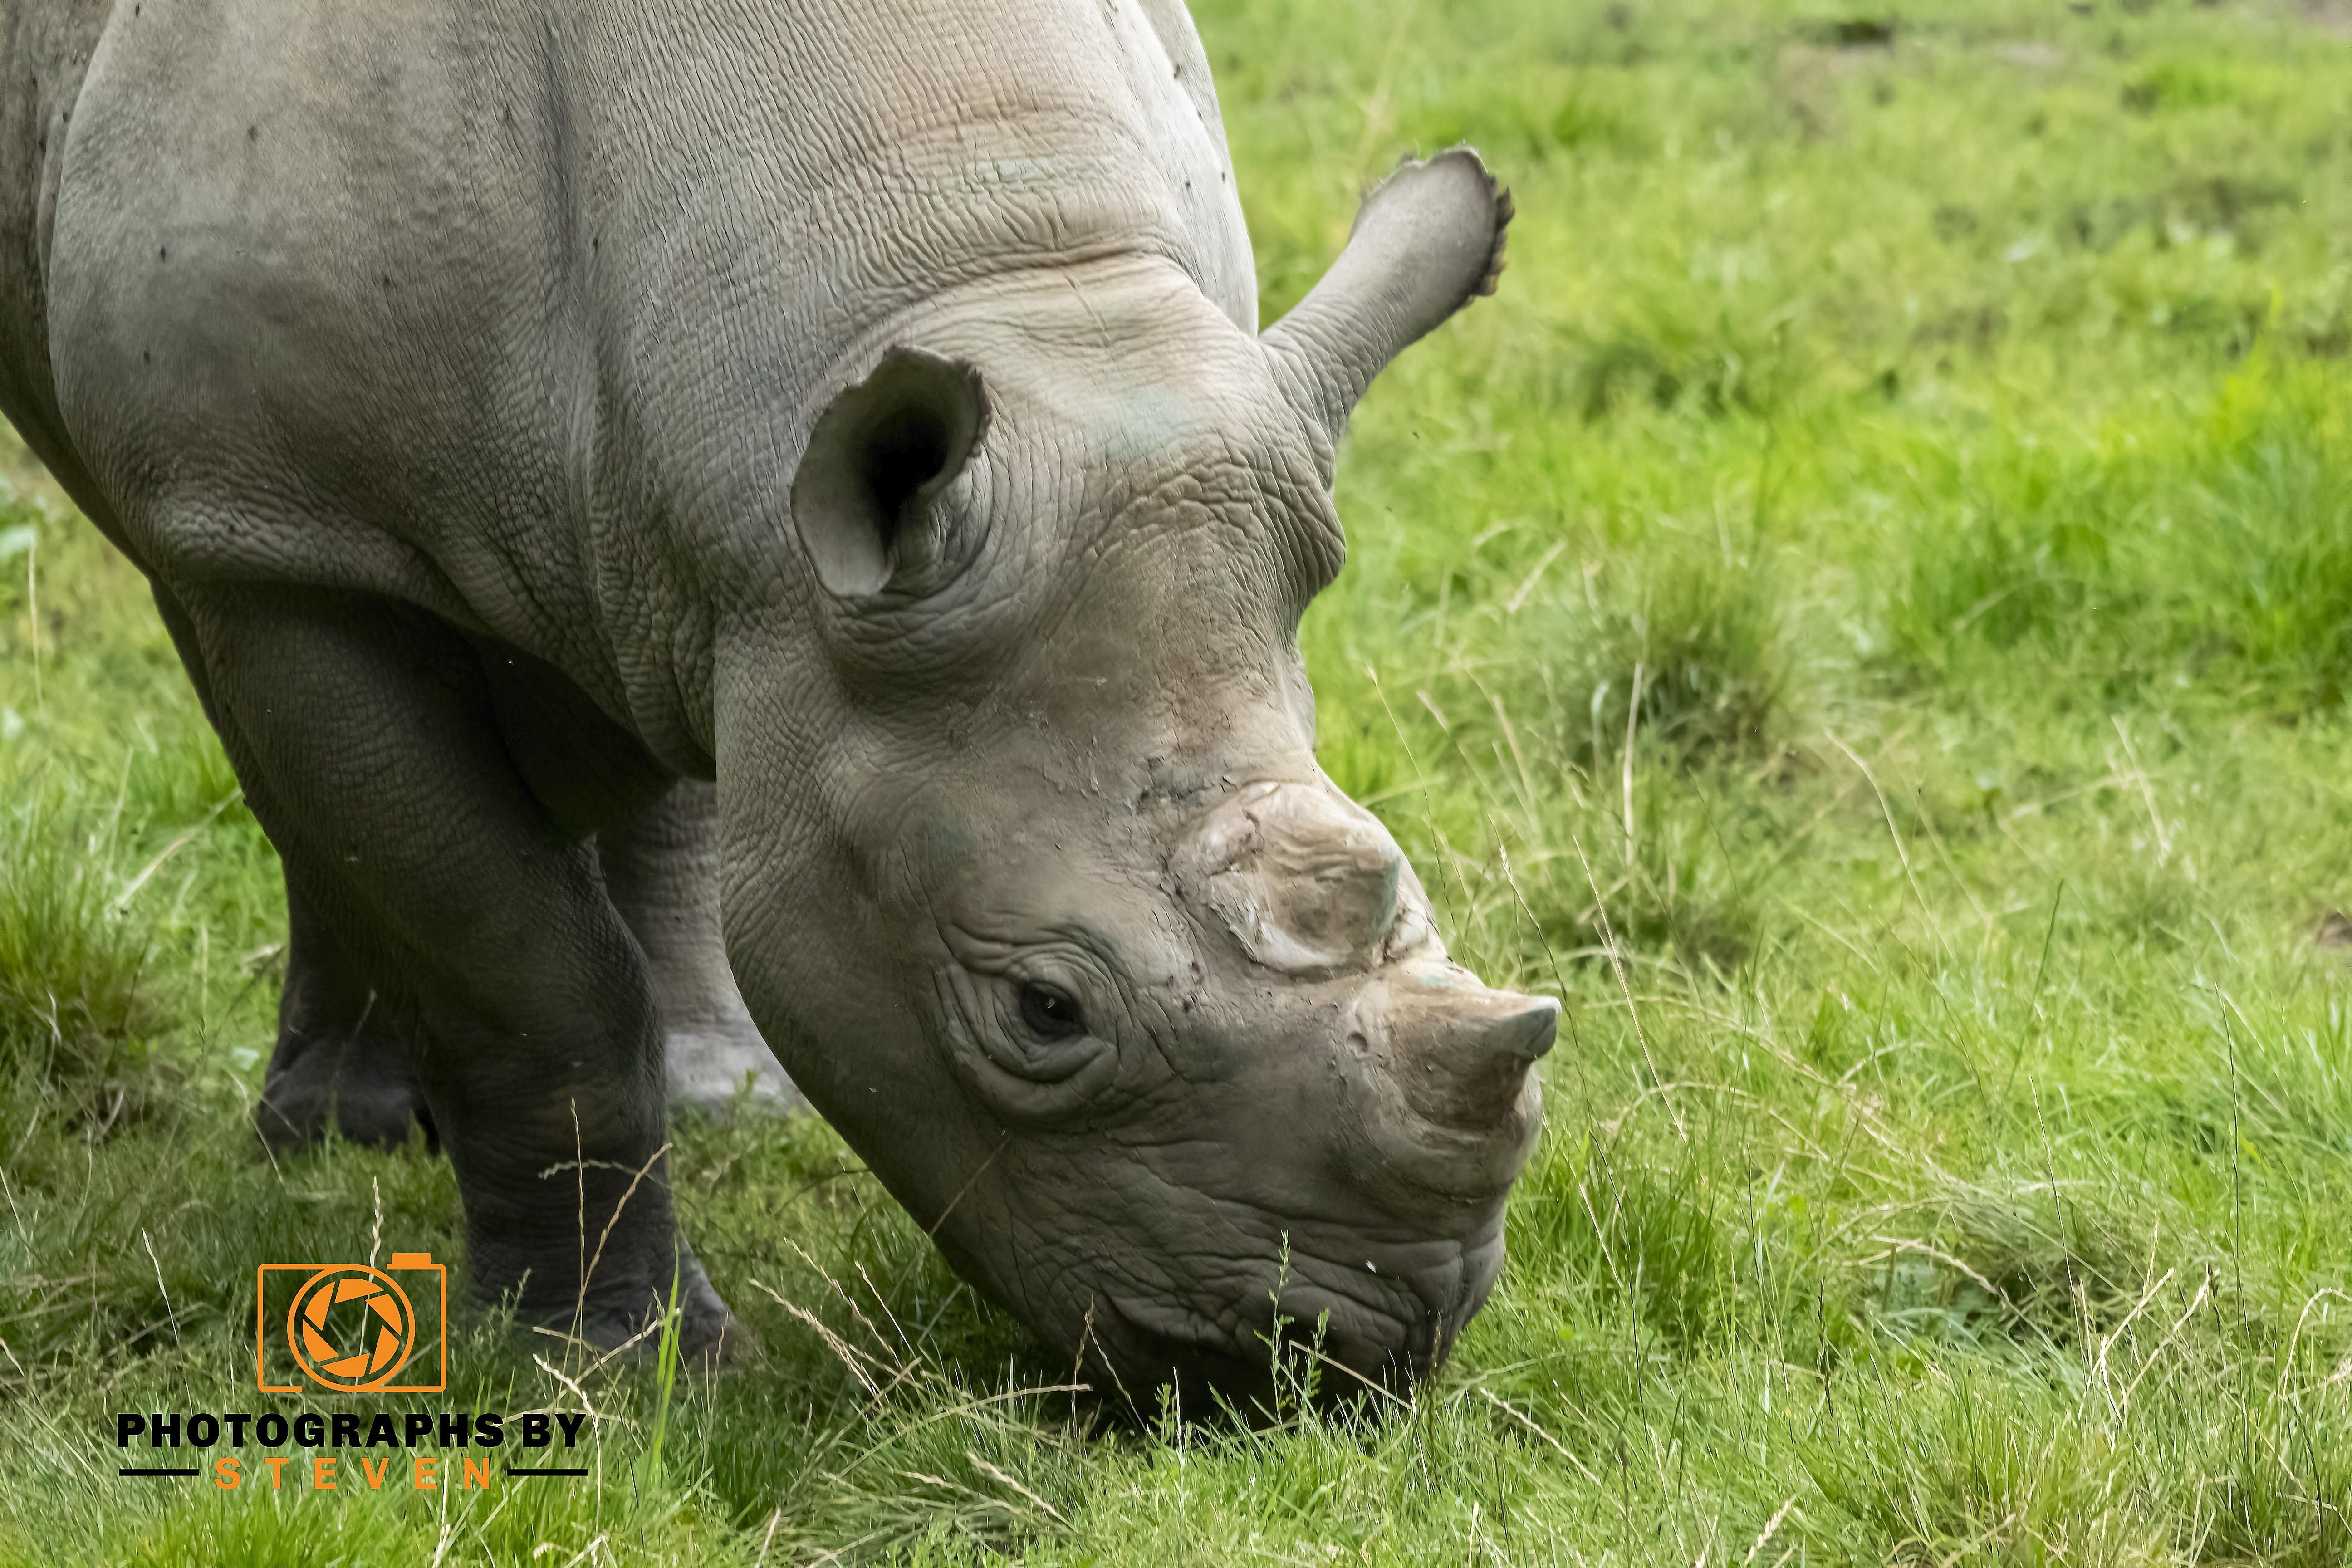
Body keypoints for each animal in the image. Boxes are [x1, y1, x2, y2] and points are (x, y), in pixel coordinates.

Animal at [0, 0, 1555, 1408]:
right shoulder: (274, 527)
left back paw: (701, 1099)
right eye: (1044, 1010)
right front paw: (619, 1378)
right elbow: (524, 966)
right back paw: (346, 1142)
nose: (1357, 1354)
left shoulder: (766, 570)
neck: (1004, 271)